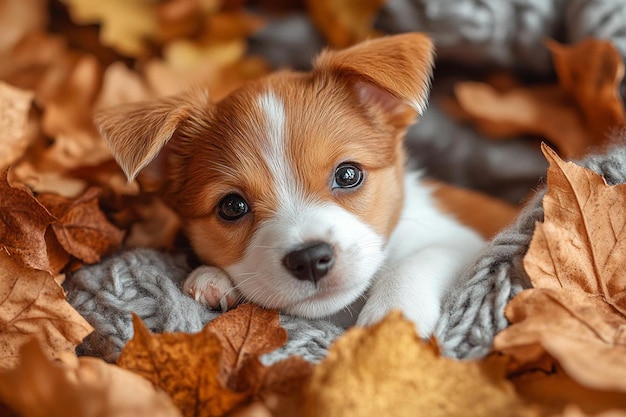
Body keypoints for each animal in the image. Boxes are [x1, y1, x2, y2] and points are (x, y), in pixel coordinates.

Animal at [95, 34, 482, 336]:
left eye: (348, 175)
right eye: (232, 206)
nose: (310, 259)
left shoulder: (464, 242)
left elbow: (421, 259)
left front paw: (393, 315)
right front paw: (211, 278)